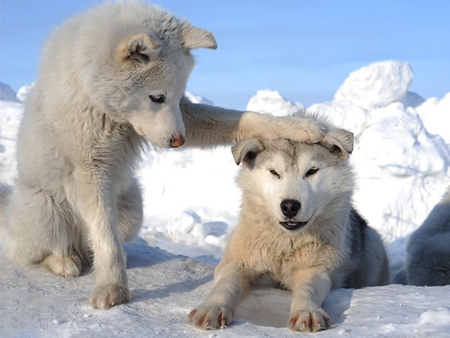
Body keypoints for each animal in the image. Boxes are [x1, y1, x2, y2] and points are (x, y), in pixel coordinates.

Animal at [0, 1, 324, 310]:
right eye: (156, 97)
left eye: (179, 97)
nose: (179, 141)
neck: (98, 99)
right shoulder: (90, 168)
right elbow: (104, 237)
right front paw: (112, 287)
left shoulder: (185, 118)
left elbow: (244, 119)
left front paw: (298, 127)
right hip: (46, 208)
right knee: (37, 251)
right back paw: (63, 261)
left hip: (132, 209)